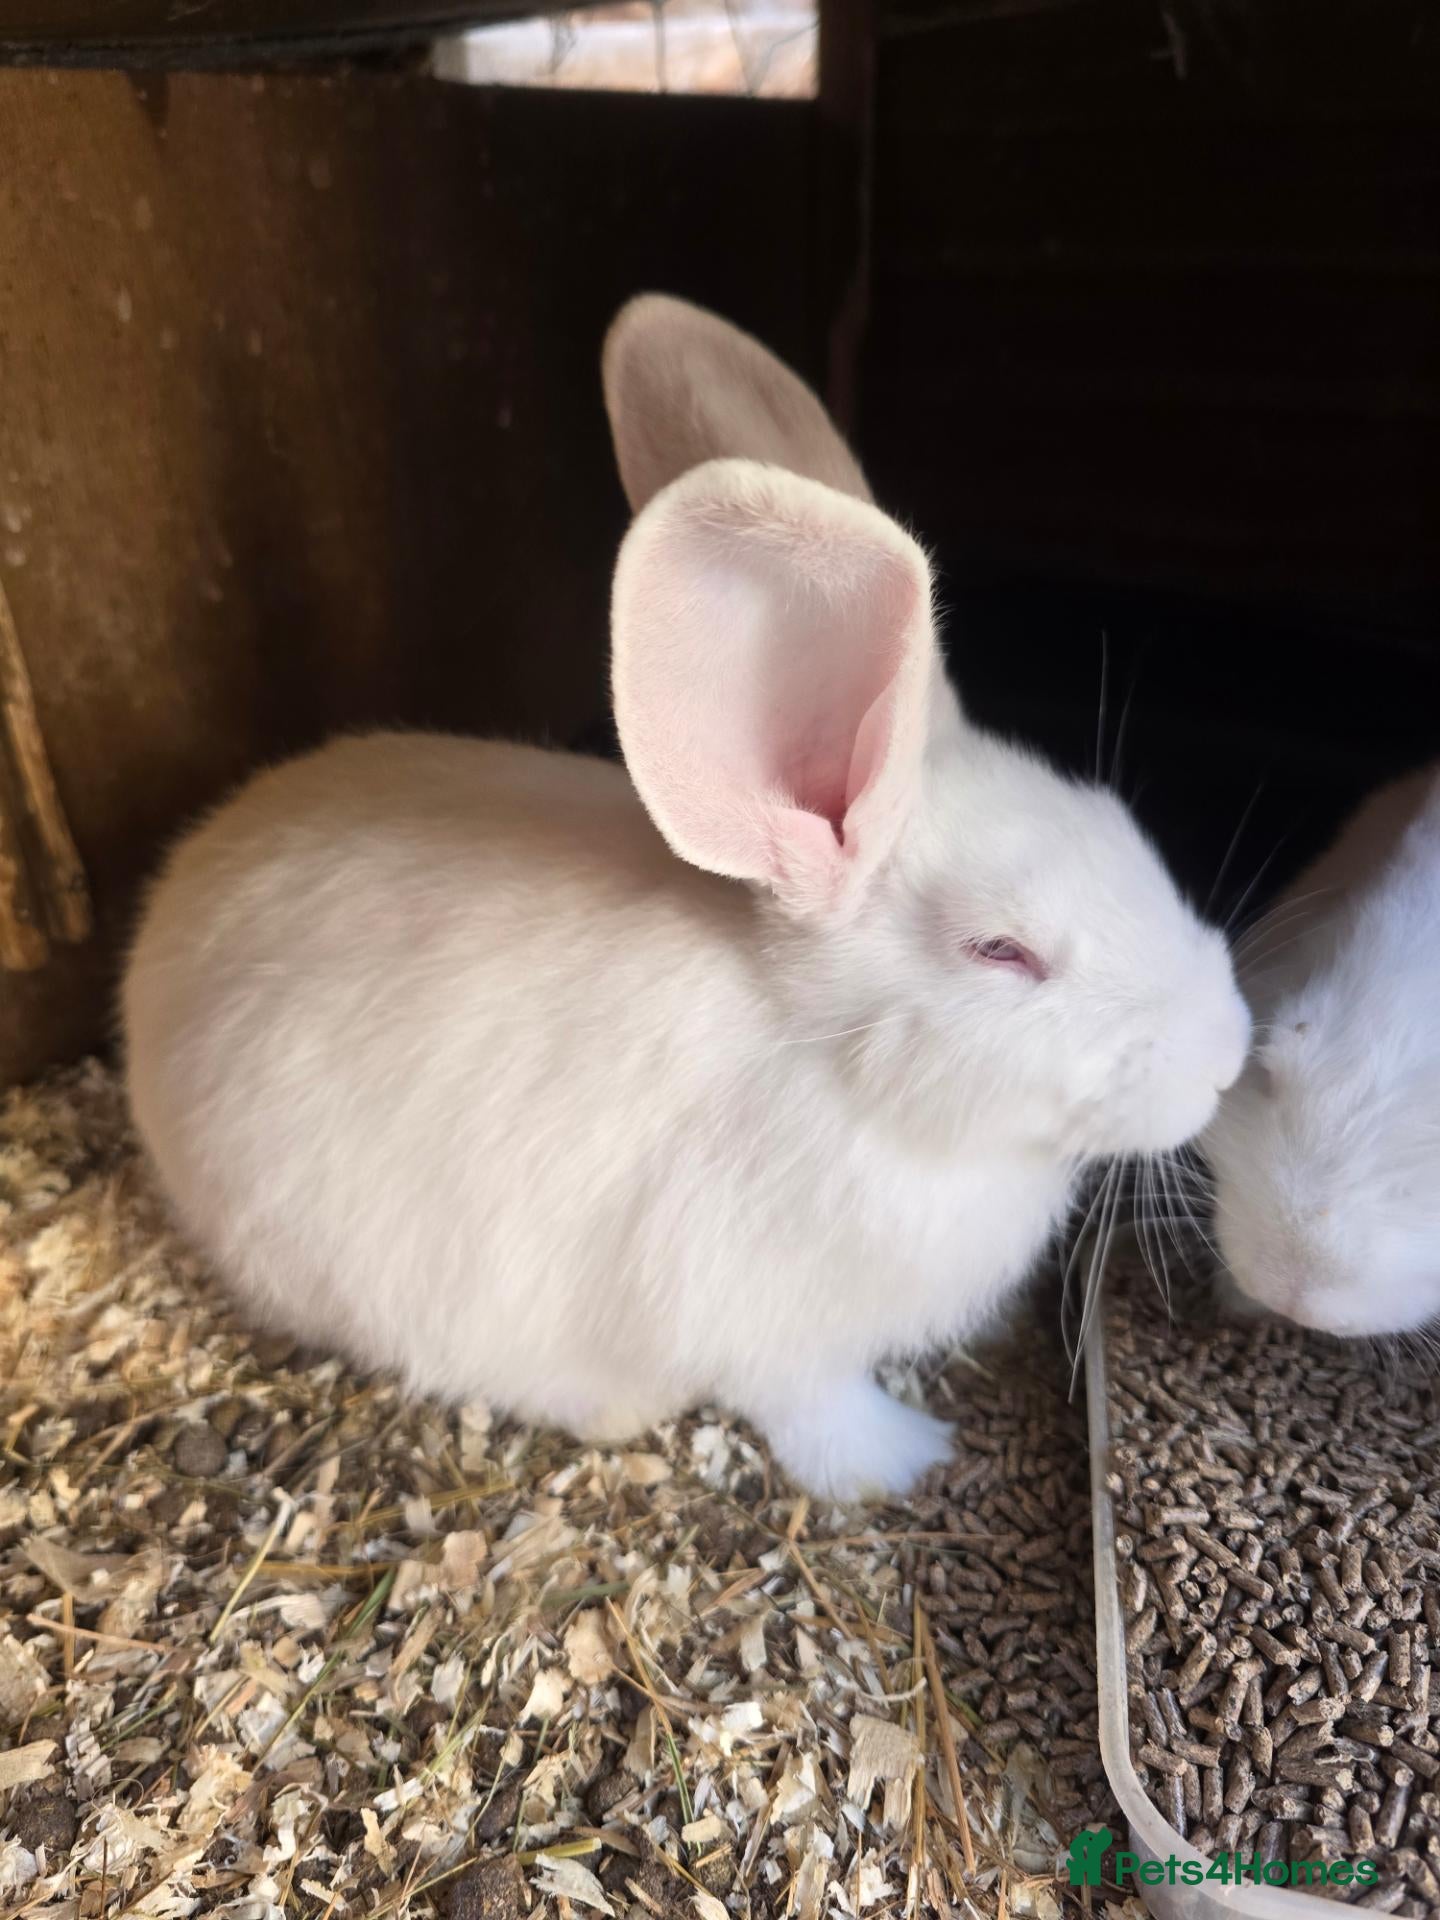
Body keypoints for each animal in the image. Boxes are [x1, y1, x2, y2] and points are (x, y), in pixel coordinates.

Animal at [123, 293, 1250, 1500]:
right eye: (1004, 952)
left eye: (1124, 828)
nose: (1231, 1056)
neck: (839, 1081)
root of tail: (155, 949)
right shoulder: (768, 1328)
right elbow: (814, 1406)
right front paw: (902, 1461)